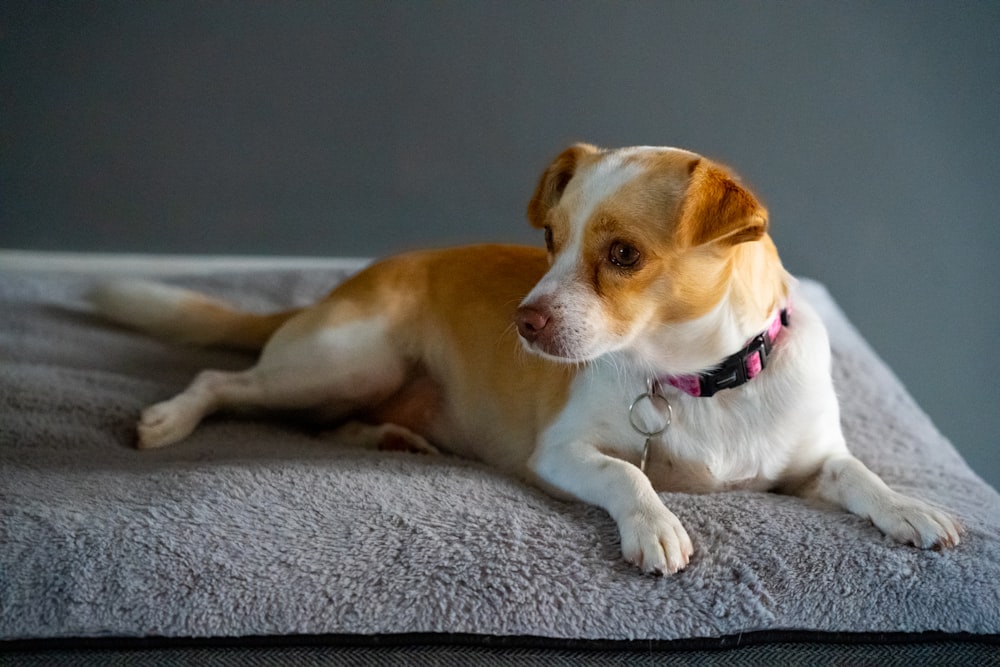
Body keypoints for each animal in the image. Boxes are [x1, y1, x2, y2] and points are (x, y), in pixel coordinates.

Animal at [94, 145, 960, 576]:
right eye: (548, 238)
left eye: (623, 254)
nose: (523, 320)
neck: (699, 380)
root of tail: (344, 285)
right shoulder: (563, 452)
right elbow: (630, 475)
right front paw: (655, 525)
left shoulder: (811, 462)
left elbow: (859, 474)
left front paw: (909, 508)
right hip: (344, 362)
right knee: (224, 381)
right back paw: (169, 417)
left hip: (347, 383)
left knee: (324, 424)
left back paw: (394, 438)